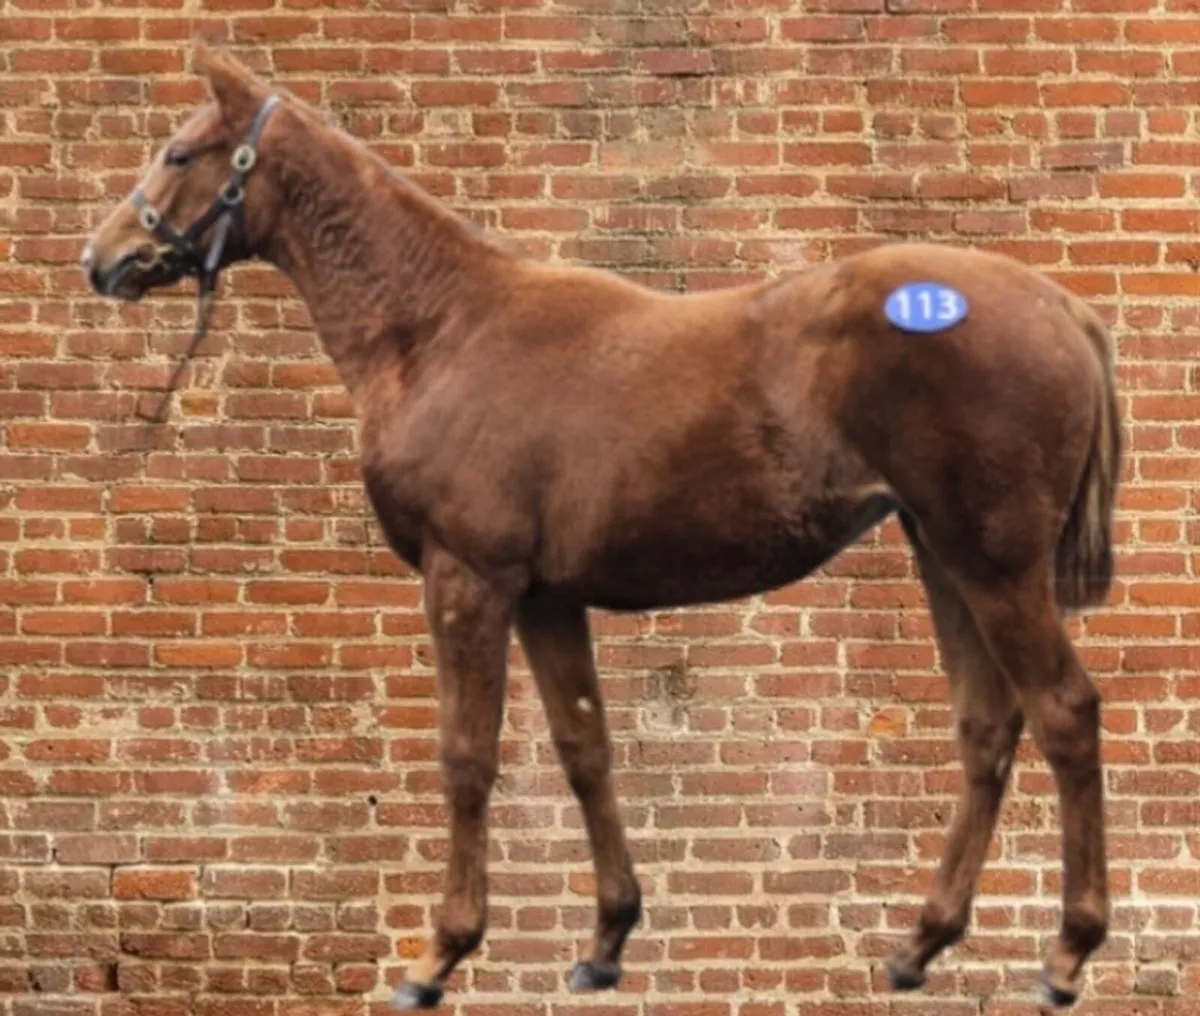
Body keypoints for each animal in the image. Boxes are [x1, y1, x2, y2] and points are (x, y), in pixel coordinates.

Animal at [82, 42, 1121, 1011]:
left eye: (179, 153)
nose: (102, 260)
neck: (441, 331)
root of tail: (1061, 305)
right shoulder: (547, 597)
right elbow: (584, 747)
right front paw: (606, 942)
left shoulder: (467, 577)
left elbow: (467, 757)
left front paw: (438, 957)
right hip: (940, 554)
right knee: (987, 726)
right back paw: (919, 945)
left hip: (993, 562)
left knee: (1064, 712)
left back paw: (1067, 955)